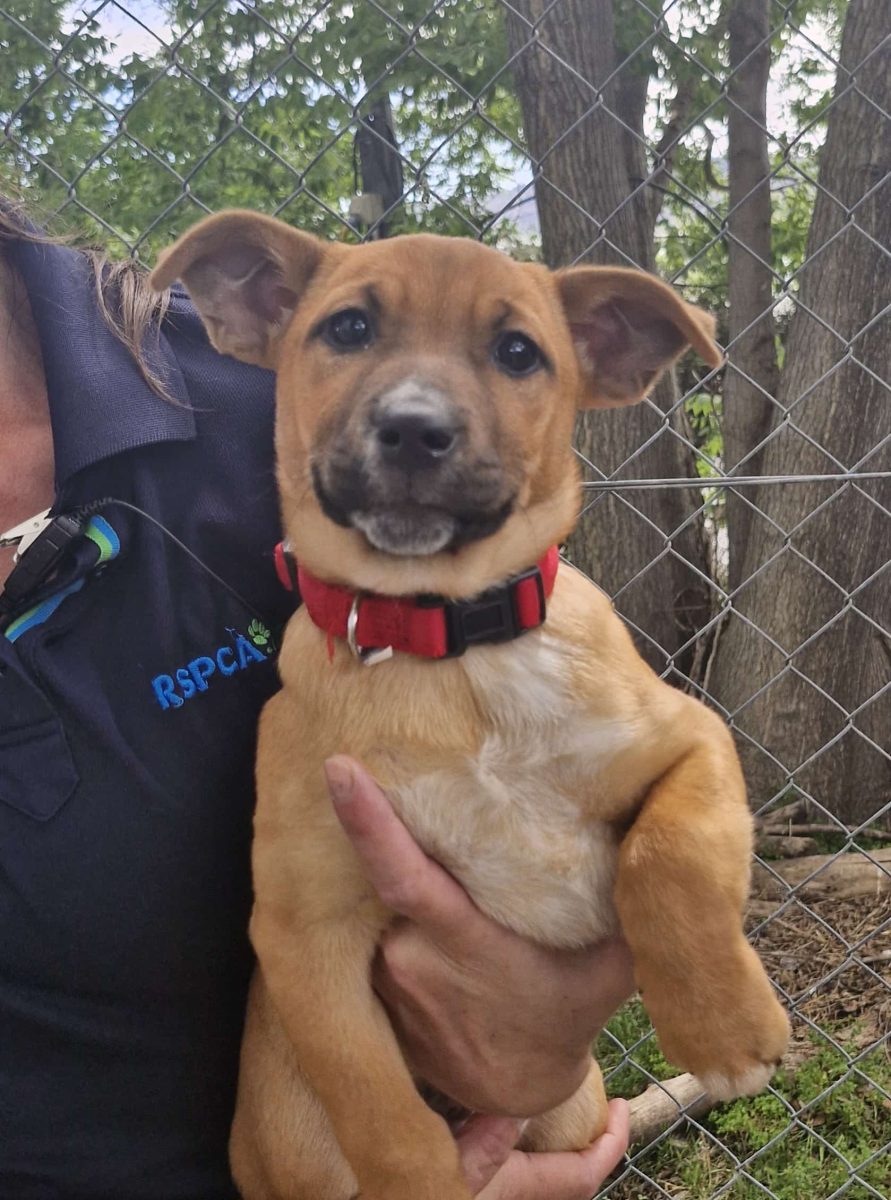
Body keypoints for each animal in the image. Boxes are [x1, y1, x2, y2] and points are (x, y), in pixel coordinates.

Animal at [151, 213, 787, 1200]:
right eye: (347, 329)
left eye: (517, 352)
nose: (415, 431)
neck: (447, 649)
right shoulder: (304, 925)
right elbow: (372, 1096)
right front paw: (419, 1175)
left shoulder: (690, 737)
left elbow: (667, 855)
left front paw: (722, 1027)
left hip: (568, 1115)